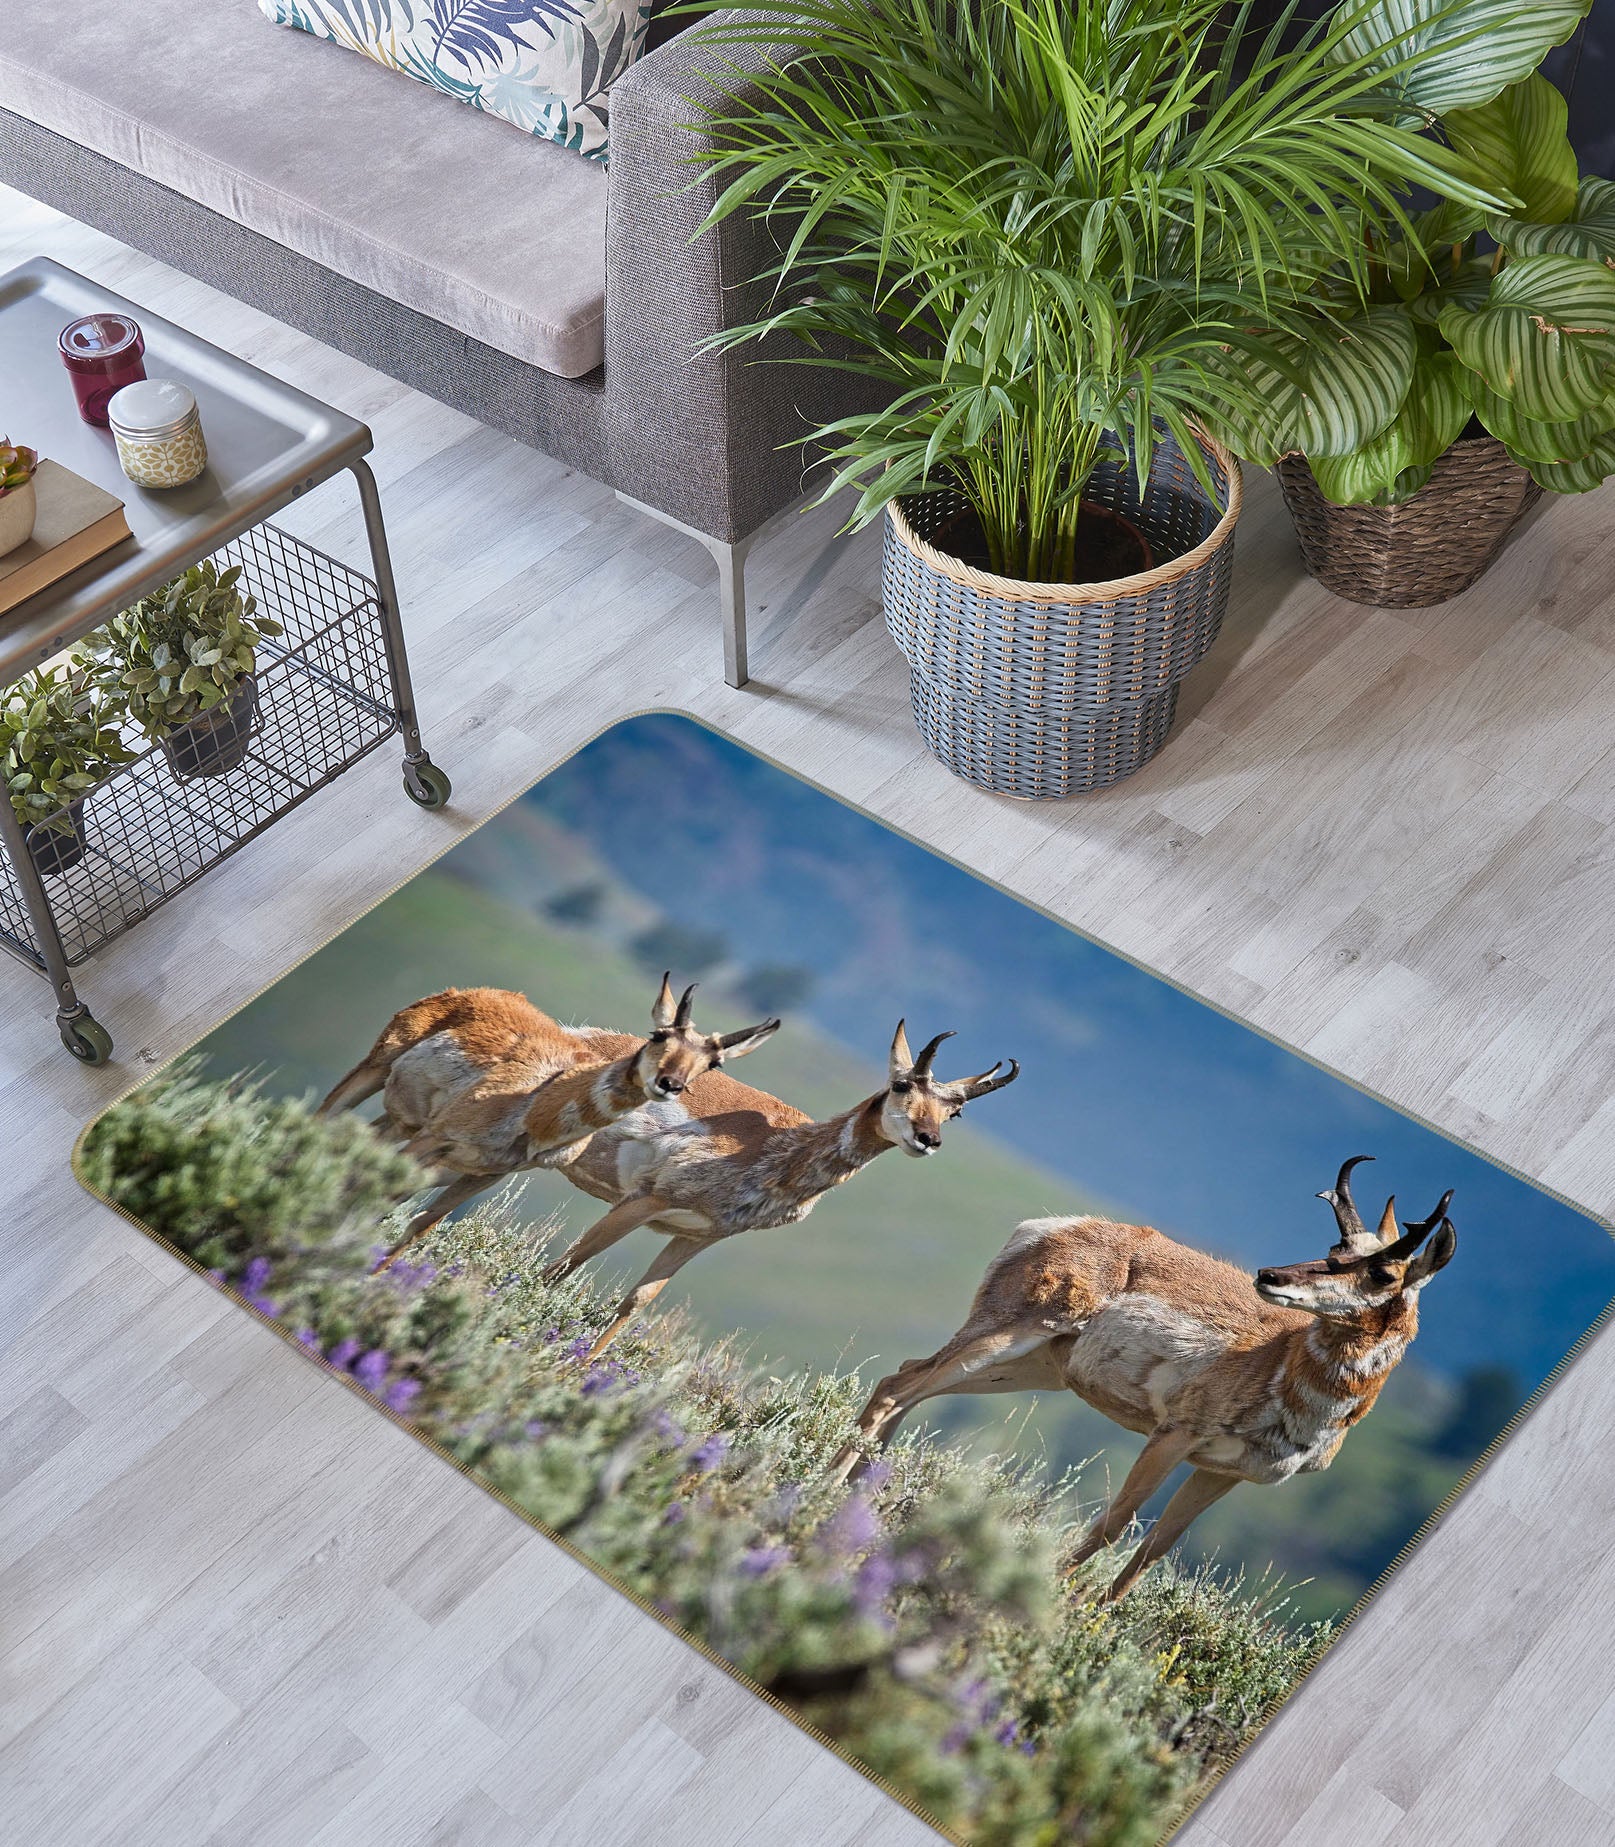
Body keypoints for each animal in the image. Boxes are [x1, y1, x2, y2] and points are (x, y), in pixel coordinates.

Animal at [318, 974, 781, 1268]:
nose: (670, 1084)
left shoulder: (485, 1172)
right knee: (328, 1118)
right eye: (658, 1035)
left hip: (401, 1120)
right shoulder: (434, 1139)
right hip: (376, 1071)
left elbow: (416, 1226)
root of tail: (482, 992)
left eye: (714, 1063)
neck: (541, 1100)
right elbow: (376, 1195)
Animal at [543, 1021, 1021, 1359]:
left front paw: (586, 1363)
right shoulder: (645, 1200)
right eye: (902, 1084)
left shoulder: (698, 1234)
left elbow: (638, 1300)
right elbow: (568, 1264)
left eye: (954, 1113)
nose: (928, 1139)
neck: (781, 1149)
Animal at [830, 1155, 1457, 1603]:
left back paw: (859, 1494)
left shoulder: (1222, 1472)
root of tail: (1056, 1226)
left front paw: (1099, 1619)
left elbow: (1155, 1548)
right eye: (1334, 1245)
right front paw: (1053, 1595)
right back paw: (830, 1489)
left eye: (1383, 1272)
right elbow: (1116, 1522)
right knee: (897, 1388)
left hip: (1029, 1369)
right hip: (1009, 1336)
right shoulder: (1173, 1436)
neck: (1285, 1363)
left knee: (907, 1382)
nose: (1270, 1274)